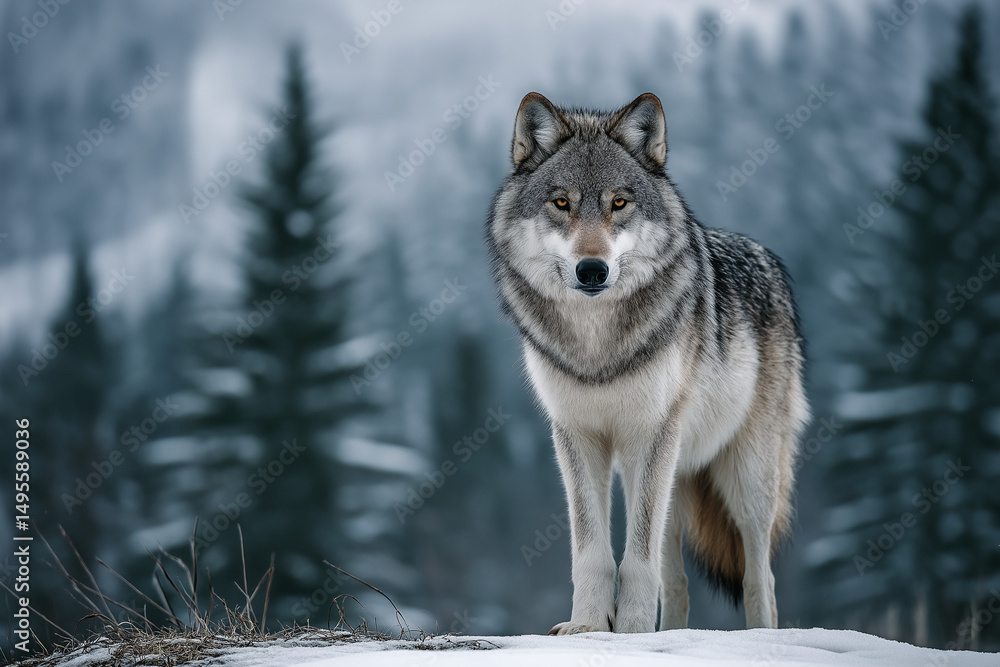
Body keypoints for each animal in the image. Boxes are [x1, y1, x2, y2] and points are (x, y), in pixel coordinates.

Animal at [487, 92, 809, 634]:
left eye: (619, 203)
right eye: (561, 203)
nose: (591, 270)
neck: (597, 345)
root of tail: (769, 259)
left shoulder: (650, 433)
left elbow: (637, 558)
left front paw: (631, 630)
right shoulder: (577, 435)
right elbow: (592, 551)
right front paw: (590, 627)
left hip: (745, 479)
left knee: (758, 576)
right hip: (676, 481)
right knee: (676, 580)